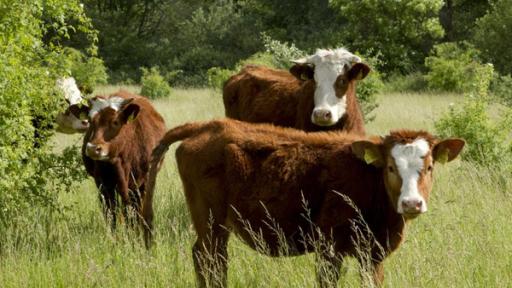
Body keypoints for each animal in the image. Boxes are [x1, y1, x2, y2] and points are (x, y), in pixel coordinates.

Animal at [82, 90, 166, 248]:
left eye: (115, 121)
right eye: (90, 121)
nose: (93, 148)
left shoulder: (142, 184)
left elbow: (135, 212)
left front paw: (136, 238)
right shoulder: (103, 185)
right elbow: (111, 213)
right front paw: (114, 239)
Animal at [147, 118, 464, 286]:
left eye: (430, 167)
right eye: (390, 167)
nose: (412, 203)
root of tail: (208, 125)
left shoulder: (372, 254)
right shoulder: (328, 250)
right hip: (210, 223)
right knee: (207, 260)